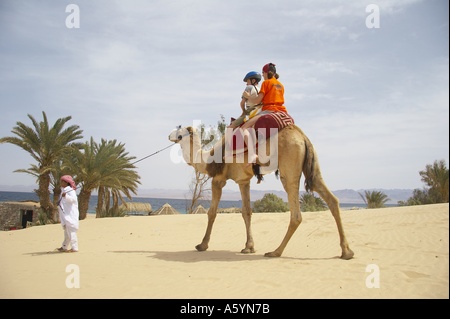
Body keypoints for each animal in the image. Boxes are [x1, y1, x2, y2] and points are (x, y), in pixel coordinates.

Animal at [169, 123, 356, 260]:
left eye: (179, 130)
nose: (168, 135)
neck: (208, 160)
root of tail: (302, 137)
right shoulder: (244, 181)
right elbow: (246, 212)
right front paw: (248, 247)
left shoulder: (218, 180)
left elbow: (212, 213)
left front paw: (202, 245)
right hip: (313, 167)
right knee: (332, 199)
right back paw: (346, 252)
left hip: (288, 167)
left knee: (296, 213)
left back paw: (275, 252)